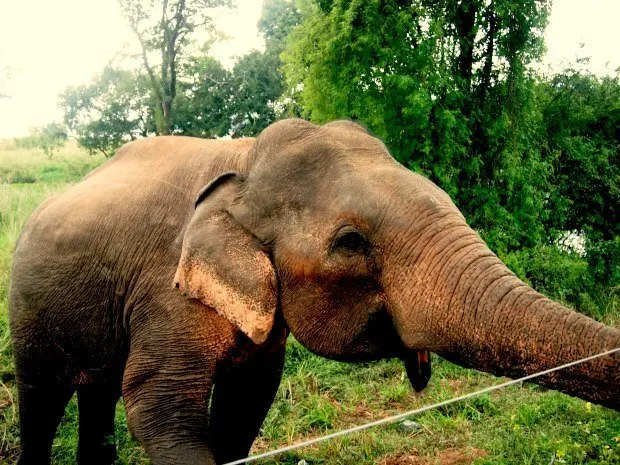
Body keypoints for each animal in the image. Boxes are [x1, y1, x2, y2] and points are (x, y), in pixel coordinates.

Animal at [8, 119, 620, 464]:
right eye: (350, 242)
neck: (243, 160)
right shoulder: (166, 289)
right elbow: (159, 408)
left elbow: (247, 403)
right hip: (27, 307)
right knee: (42, 400)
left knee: (97, 396)